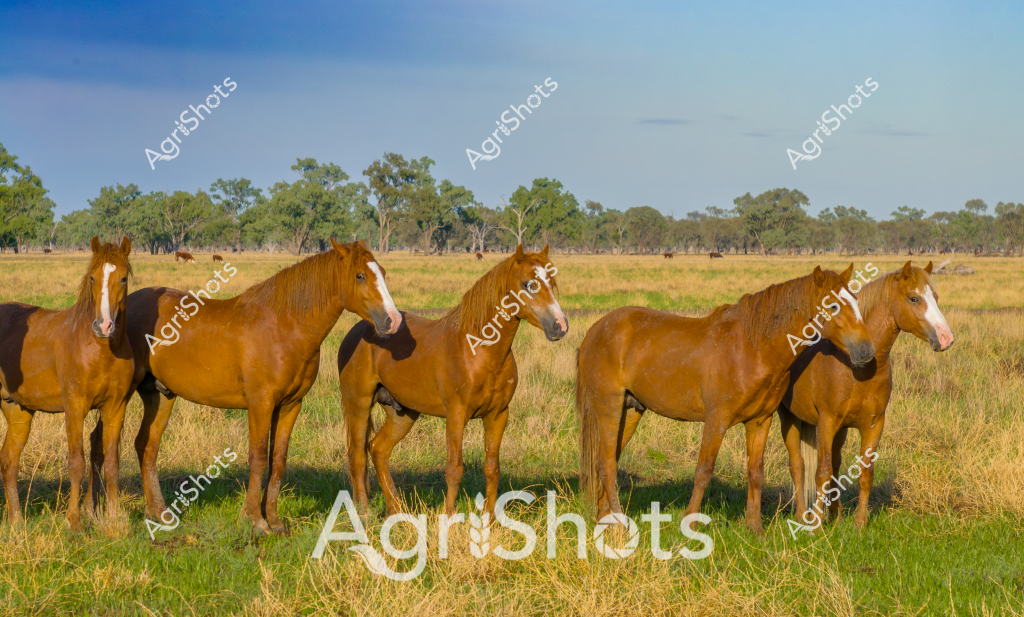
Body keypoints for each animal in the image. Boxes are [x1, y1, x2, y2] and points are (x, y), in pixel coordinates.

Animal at [0, 237, 134, 529]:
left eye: (123, 278)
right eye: (93, 277)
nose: (104, 326)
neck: (99, 349)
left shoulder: (116, 408)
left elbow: (111, 463)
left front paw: (115, 518)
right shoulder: (74, 408)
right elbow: (76, 463)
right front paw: (73, 520)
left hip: (18, 411)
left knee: (9, 461)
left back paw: (16, 521)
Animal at [88, 239, 402, 535]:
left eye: (383, 273)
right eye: (360, 275)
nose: (393, 320)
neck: (284, 326)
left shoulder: (290, 405)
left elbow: (278, 461)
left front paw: (274, 520)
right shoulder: (260, 404)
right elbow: (259, 458)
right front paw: (255, 520)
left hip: (160, 395)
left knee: (147, 445)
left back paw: (158, 512)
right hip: (121, 396)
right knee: (104, 442)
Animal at [339, 244, 568, 516]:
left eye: (551, 282)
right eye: (527, 284)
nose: (560, 326)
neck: (479, 350)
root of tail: (357, 331)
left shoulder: (498, 415)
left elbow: (492, 468)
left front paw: (490, 519)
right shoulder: (456, 415)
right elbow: (454, 469)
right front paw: (449, 517)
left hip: (402, 413)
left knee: (378, 449)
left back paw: (396, 509)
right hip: (358, 404)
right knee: (358, 456)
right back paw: (364, 513)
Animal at [577, 265, 876, 534]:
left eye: (856, 301)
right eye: (833, 306)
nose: (866, 351)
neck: (751, 349)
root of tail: (595, 330)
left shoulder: (760, 422)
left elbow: (755, 472)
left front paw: (755, 527)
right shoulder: (716, 420)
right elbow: (703, 471)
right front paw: (690, 524)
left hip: (630, 412)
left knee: (608, 461)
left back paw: (604, 518)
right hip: (609, 408)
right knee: (606, 464)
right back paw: (619, 523)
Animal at [778, 261, 954, 530]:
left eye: (935, 297)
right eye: (913, 298)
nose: (946, 338)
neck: (857, 367)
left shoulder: (873, 425)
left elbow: (864, 474)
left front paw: (859, 523)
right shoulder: (826, 422)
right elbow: (820, 472)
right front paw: (816, 525)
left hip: (840, 431)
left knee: (834, 465)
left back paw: (836, 516)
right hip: (789, 419)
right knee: (798, 466)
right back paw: (802, 516)